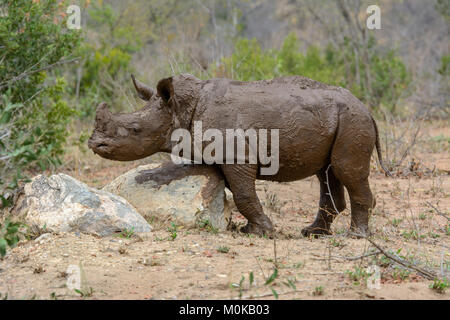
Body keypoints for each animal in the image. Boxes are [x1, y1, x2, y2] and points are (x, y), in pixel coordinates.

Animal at [89, 73, 390, 238]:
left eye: (134, 129)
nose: (94, 144)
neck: (180, 109)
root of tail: (367, 108)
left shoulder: (237, 157)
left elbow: (244, 194)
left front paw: (262, 231)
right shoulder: (220, 154)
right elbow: (230, 190)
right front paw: (252, 229)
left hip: (353, 121)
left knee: (346, 170)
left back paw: (356, 236)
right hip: (340, 119)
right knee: (327, 173)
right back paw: (313, 233)